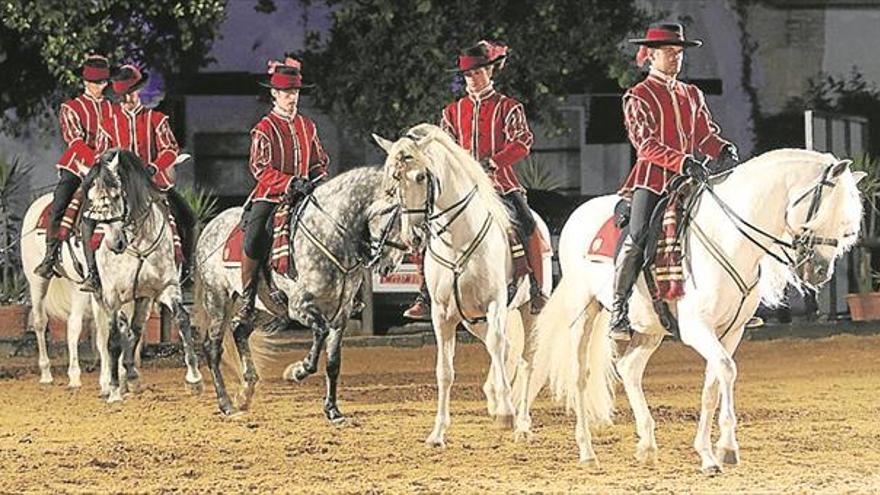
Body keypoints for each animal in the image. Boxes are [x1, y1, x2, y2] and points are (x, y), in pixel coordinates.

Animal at [194, 167, 404, 422]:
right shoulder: (300, 306)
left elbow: (333, 362)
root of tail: (209, 227)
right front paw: (297, 371)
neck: (329, 234)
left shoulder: (341, 314)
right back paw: (226, 405)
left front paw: (332, 410)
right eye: (395, 215)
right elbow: (320, 334)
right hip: (218, 299)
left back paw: (245, 394)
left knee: (239, 329)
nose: (389, 266)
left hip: (266, 308)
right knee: (212, 348)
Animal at [372, 124, 544, 446]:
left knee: (525, 359)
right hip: (473, 321)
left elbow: (499, 347)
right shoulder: (443, 315)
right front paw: (438, 432)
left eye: (421, 176)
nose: (413, 236)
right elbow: (445, 371)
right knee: (503, 349)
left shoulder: (495, 303)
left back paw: (522, 423)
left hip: (526, 312)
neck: (459, 238)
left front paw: (507, 413)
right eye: (393, 179)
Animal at [524, 149, 864, 474]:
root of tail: (577, 214)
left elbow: (712, 384)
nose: (819, 271)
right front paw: (727, 447)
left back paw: (647, 446)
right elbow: (727, 370)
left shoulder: (730, 331)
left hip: (650, 327)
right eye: (824, 213)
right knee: (579, 376)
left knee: (630, 368)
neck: (728, 238)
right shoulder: (697, 327)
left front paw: (709, 453)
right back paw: (587, 452)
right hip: (584, 314)